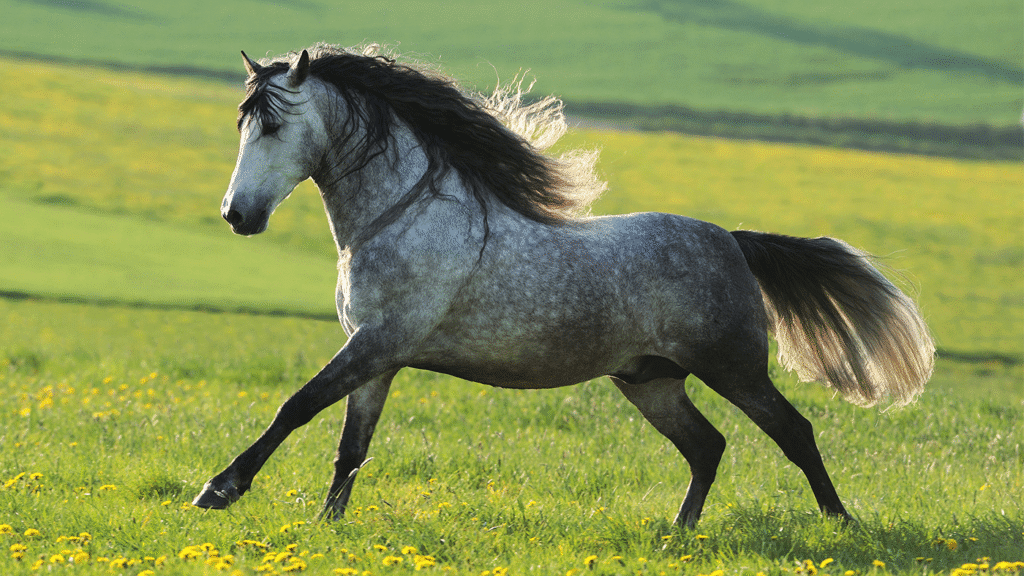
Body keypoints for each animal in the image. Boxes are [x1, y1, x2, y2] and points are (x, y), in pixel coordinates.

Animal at [192, 43, 935, 528]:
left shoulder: (378, 344)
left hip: (732, 367)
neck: (401, 216)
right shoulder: (378, 358)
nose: (237, 216)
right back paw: (678, 532)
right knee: (708, 447)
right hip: (649, 380)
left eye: (274, 123)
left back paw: (840, 523)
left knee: (793, 432)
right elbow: (350, 447)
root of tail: (730, 240)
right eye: (242, 123)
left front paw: (219, 489)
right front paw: (328, 525)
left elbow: (295, 406)